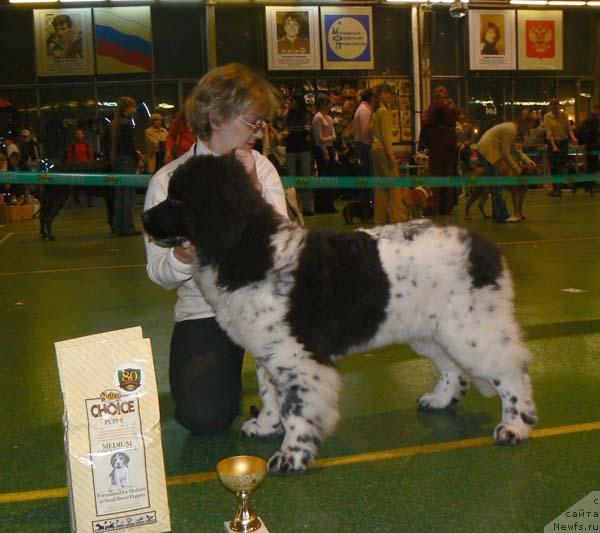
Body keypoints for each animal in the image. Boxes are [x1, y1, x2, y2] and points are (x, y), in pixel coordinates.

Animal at [142, 155, 540, 474]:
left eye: (178, 199)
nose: (144, 216)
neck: (249, 247)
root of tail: (484, 247)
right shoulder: (268, 352)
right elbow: (271, 395)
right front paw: (266, 425)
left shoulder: (297, 358)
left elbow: (296, 408)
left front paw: (292, 457)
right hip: (431, 331)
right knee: (452, 369)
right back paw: (440, 400)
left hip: (471, 329)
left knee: (511, 373)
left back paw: (515, 427)